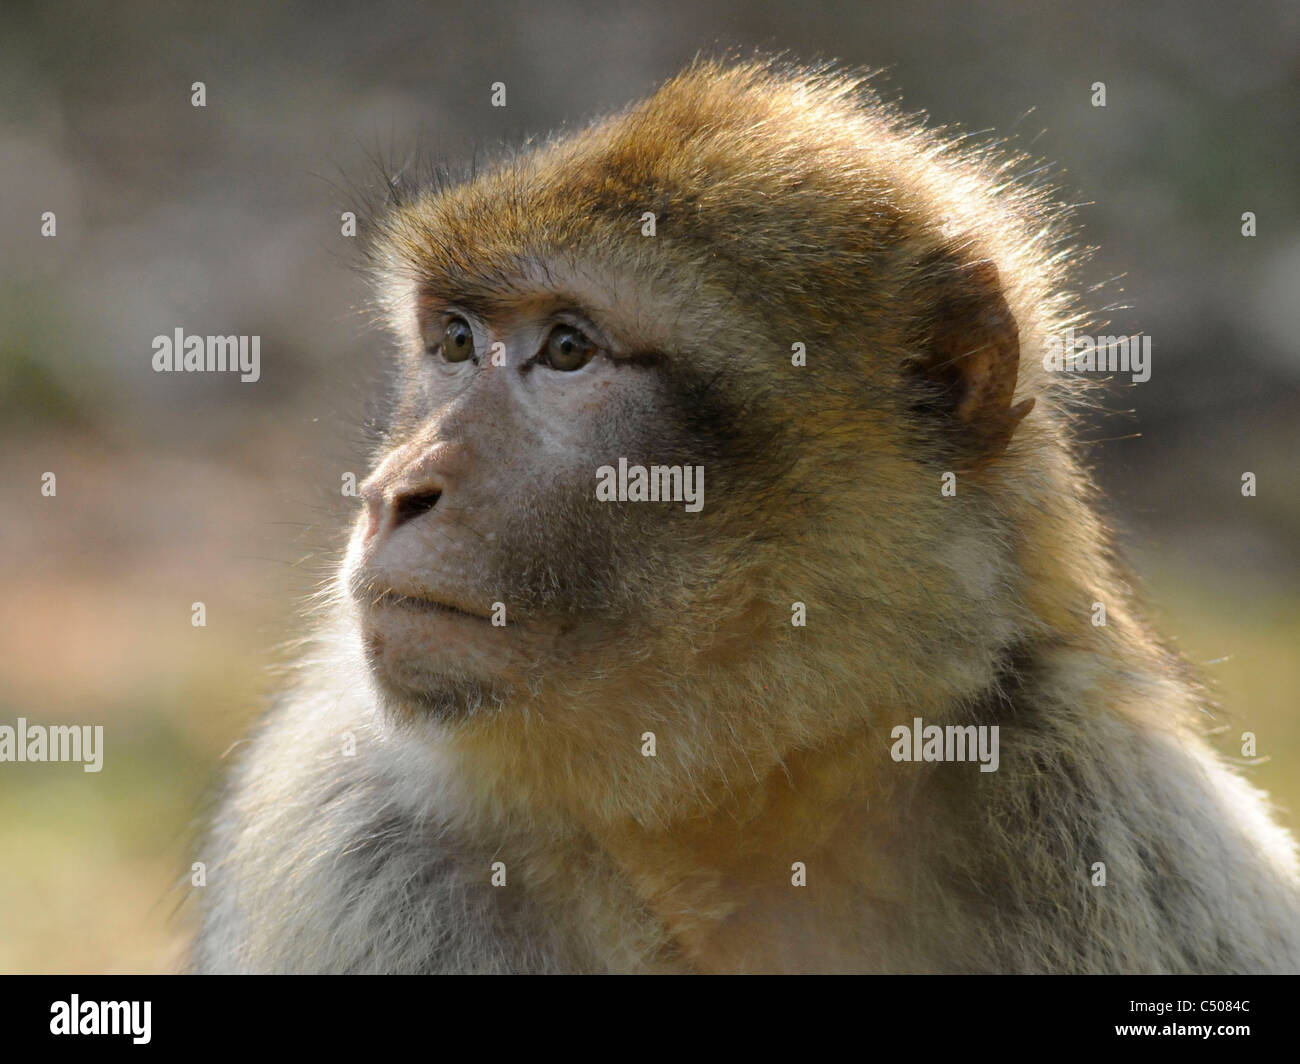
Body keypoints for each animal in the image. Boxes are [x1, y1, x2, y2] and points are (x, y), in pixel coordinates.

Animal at [189, 55, 1300, 967]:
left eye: (567, 349)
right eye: (456, 340)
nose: (393, 492)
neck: (737, 817)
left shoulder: (1126, 827)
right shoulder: (360, 856)